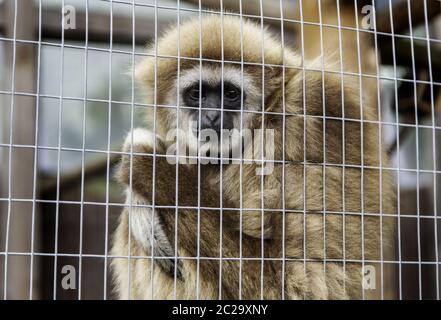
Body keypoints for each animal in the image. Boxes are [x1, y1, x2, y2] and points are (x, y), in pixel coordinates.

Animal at [110, 14, 396, 300]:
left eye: (231, 94)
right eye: (197, 94)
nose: (211, 116)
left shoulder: (317, 110)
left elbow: (296, 284)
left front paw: (143, 154)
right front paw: (139, 203)